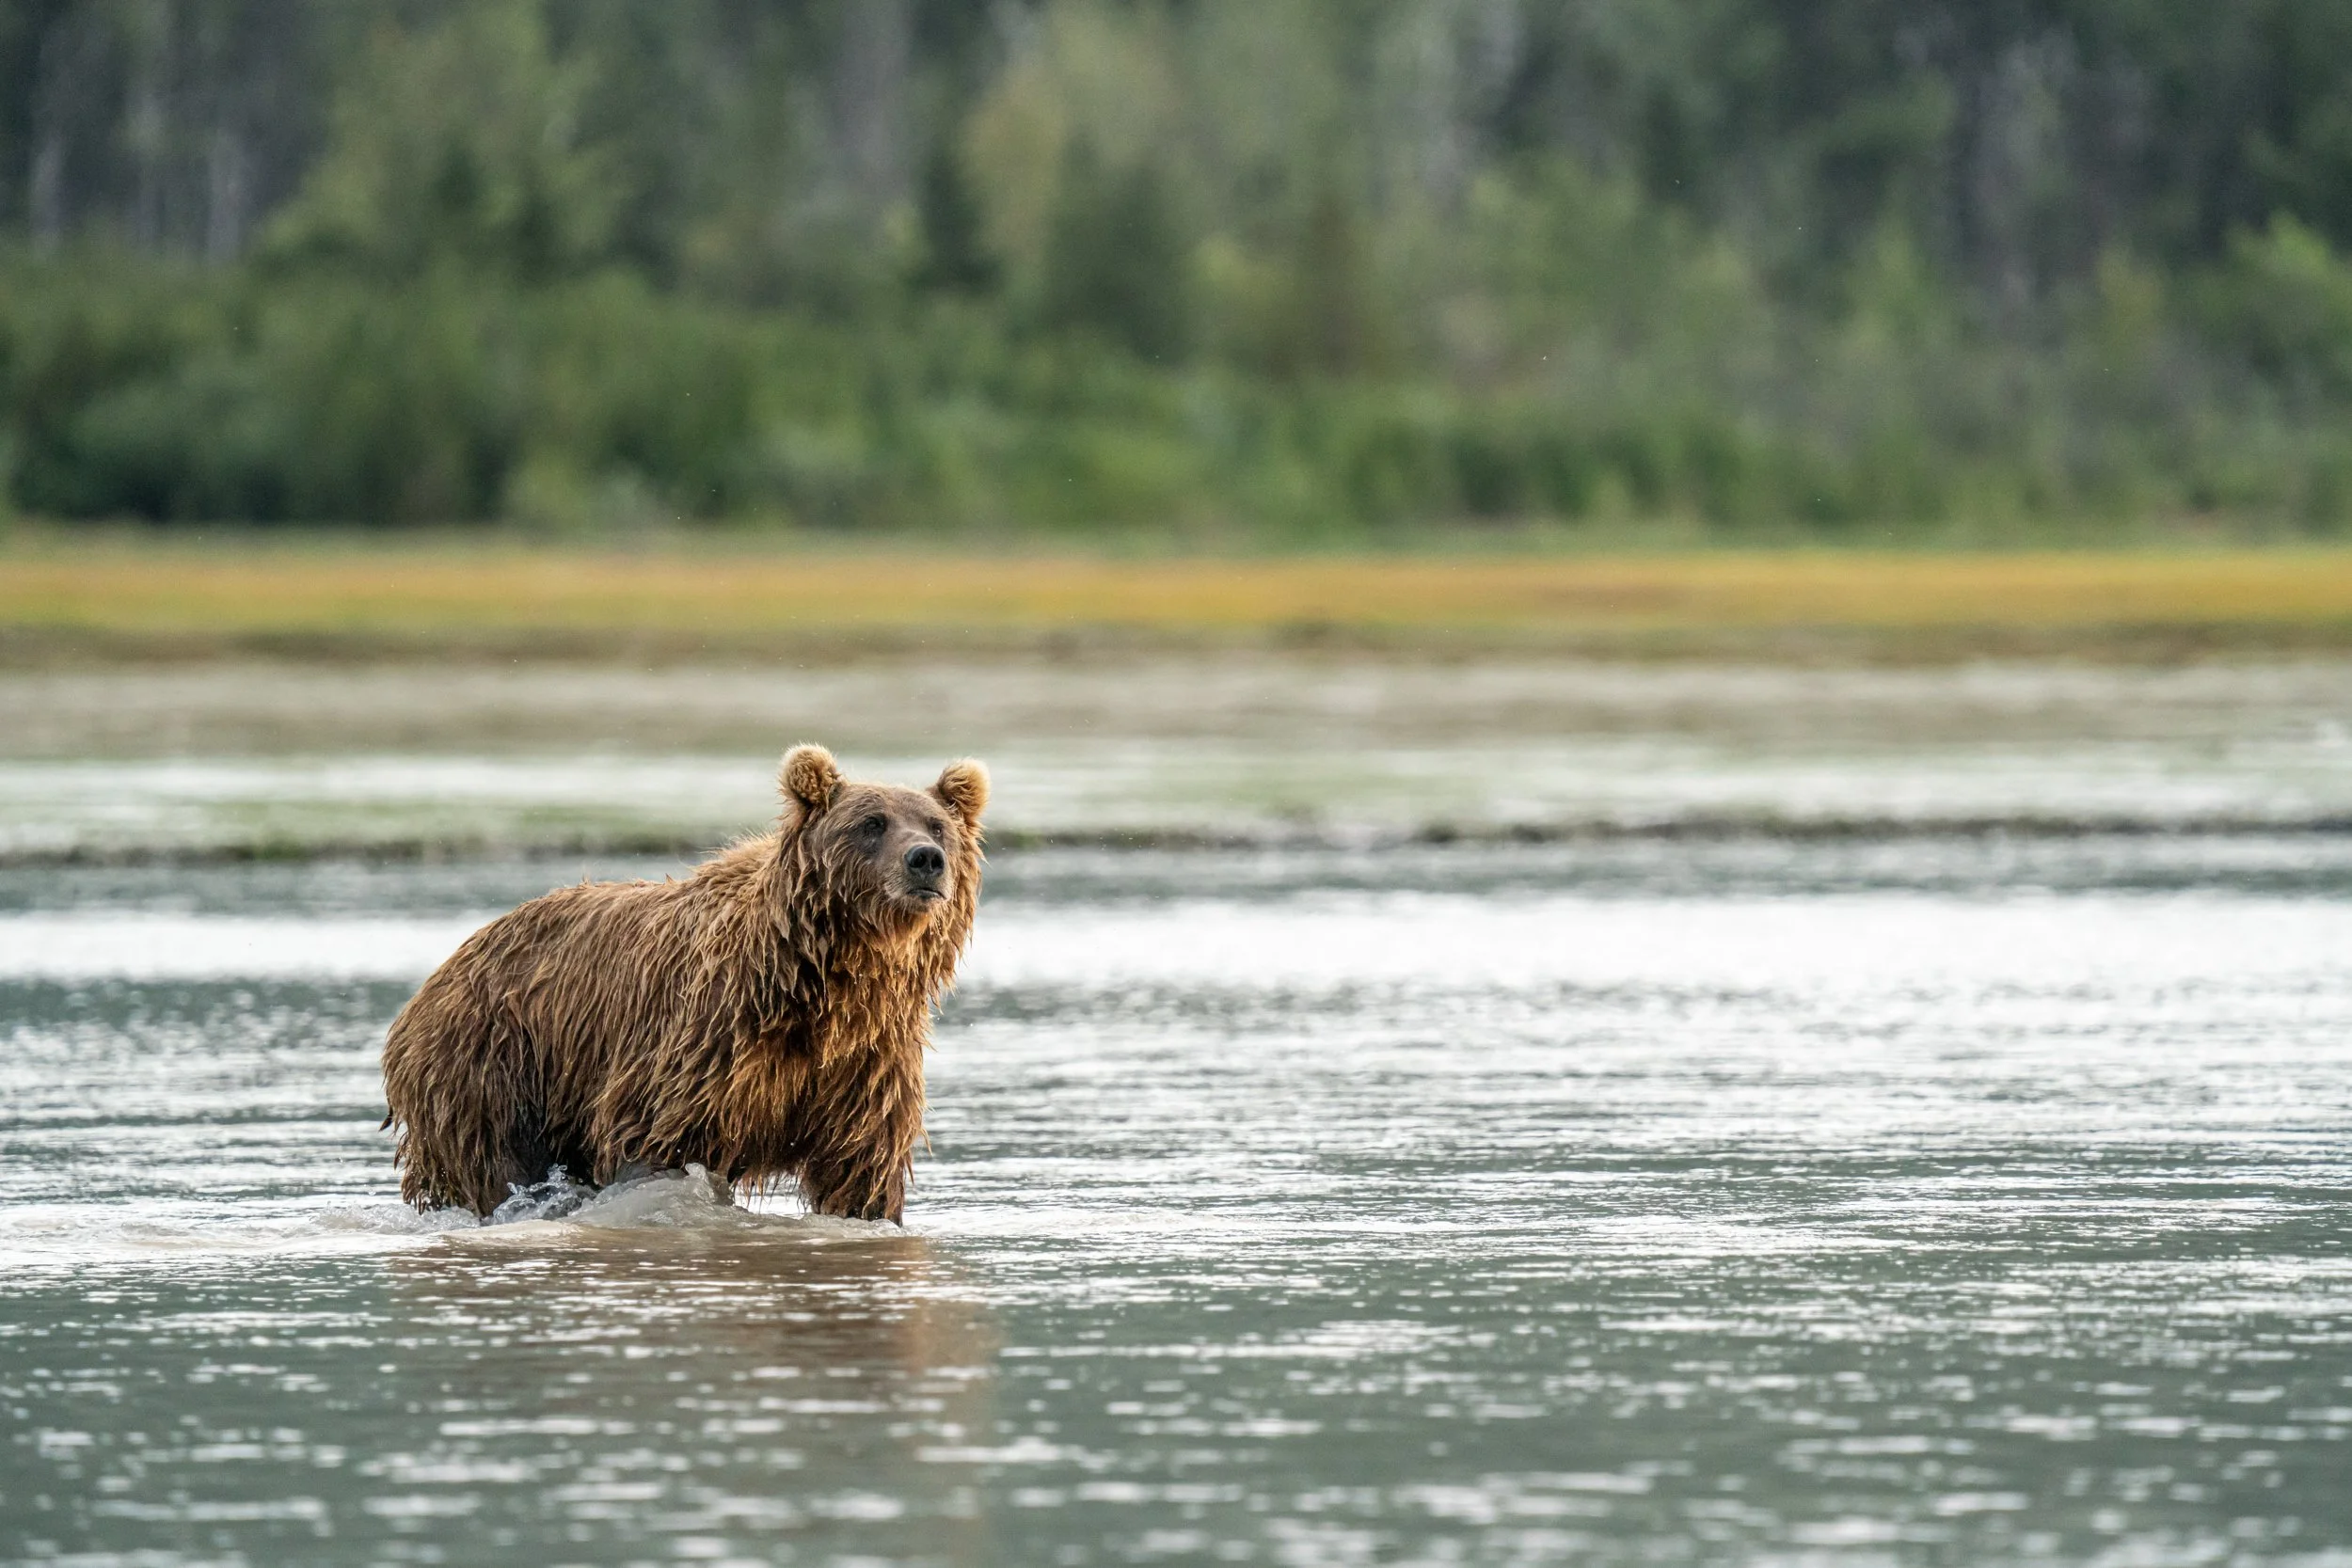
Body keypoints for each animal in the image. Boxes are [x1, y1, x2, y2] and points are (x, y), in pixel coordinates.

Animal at [380, 744, 986, 1222]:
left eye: (937, 825)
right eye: (872, 823)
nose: (925, 859)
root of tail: (440, 973)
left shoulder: (864, 1066)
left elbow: (861, 1173)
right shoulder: (706, 1042)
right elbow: (656, 1144)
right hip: (491, 1063)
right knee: (492, 1167)